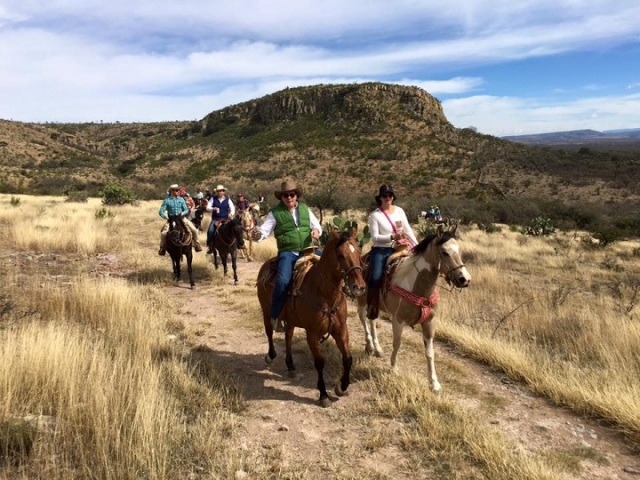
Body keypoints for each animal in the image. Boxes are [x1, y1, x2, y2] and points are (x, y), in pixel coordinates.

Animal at [255, 227, 364, 406]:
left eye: (359, 252)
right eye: (340, 255)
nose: (359, 287)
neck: (326, 295)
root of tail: (266, 265)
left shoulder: (341, 329)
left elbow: (348, 358)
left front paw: (341, 387)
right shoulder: (312, 333)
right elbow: (319, 362)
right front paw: (323, 395)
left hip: (290, 319)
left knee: (288, 336)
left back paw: (291, 365)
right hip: (266, 311)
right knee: (269, 332)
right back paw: (271, 356)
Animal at [356, 225, 470, 394]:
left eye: (459, 250)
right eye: (445, 252)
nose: (465, 279)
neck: (419, 289)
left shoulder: (429, 322)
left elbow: (430, 353)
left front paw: (434, 383)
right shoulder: (397, 321)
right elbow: (397, 344)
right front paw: (394, 368)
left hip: (374, 305)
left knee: (372, 321)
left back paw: (377, 348)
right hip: (362, 300)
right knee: (363, 320)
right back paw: (369, 346)